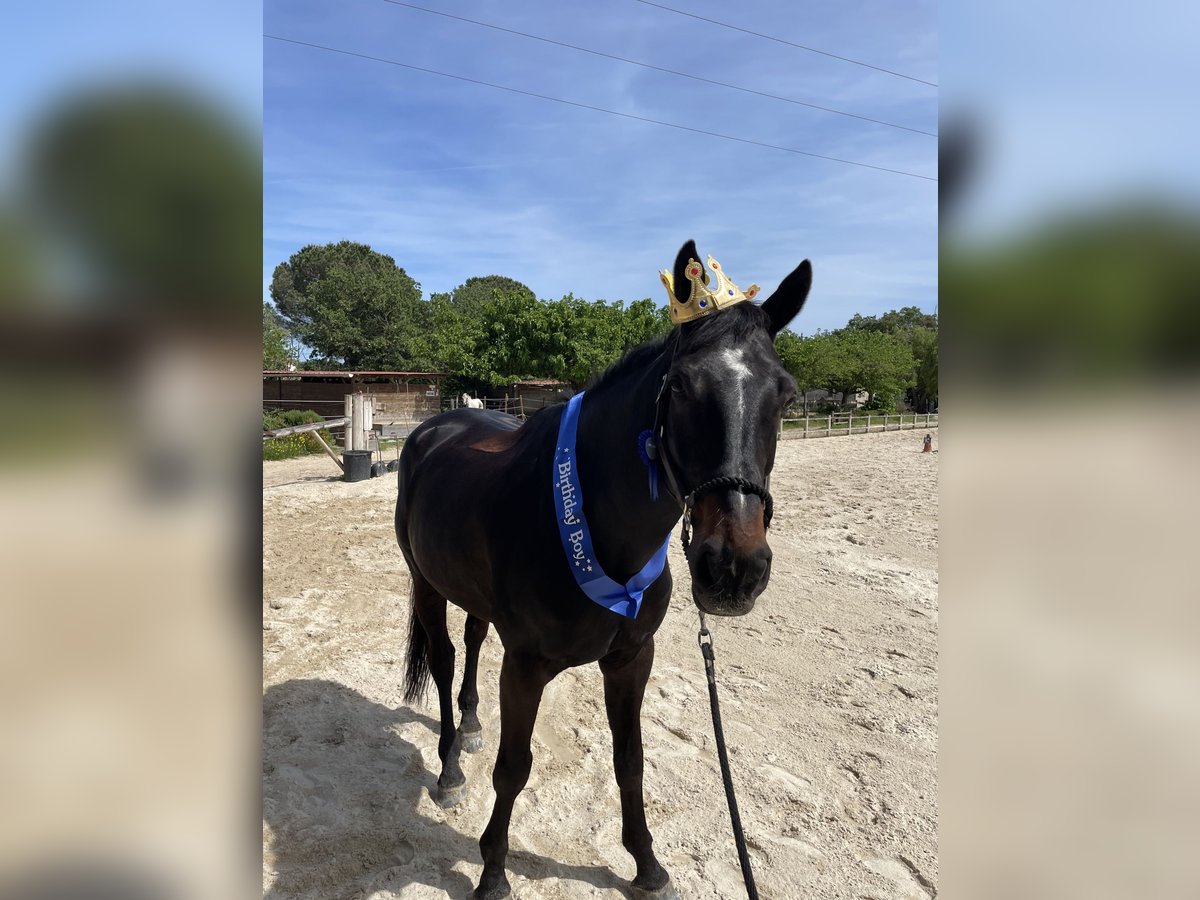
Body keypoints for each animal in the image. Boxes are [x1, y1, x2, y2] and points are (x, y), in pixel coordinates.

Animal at [398, 241, 811, 900]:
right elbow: (513, 770)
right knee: (441, 661)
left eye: (787, 396)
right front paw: (492, 871)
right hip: (426, 584)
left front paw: (647, 864)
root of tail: (434, 428)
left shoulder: (630, 658)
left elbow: (630, 761)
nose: (733, 568)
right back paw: (450, 766)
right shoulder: (526, 667)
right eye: (683, 387)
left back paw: (470, 726)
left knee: (473, 640)